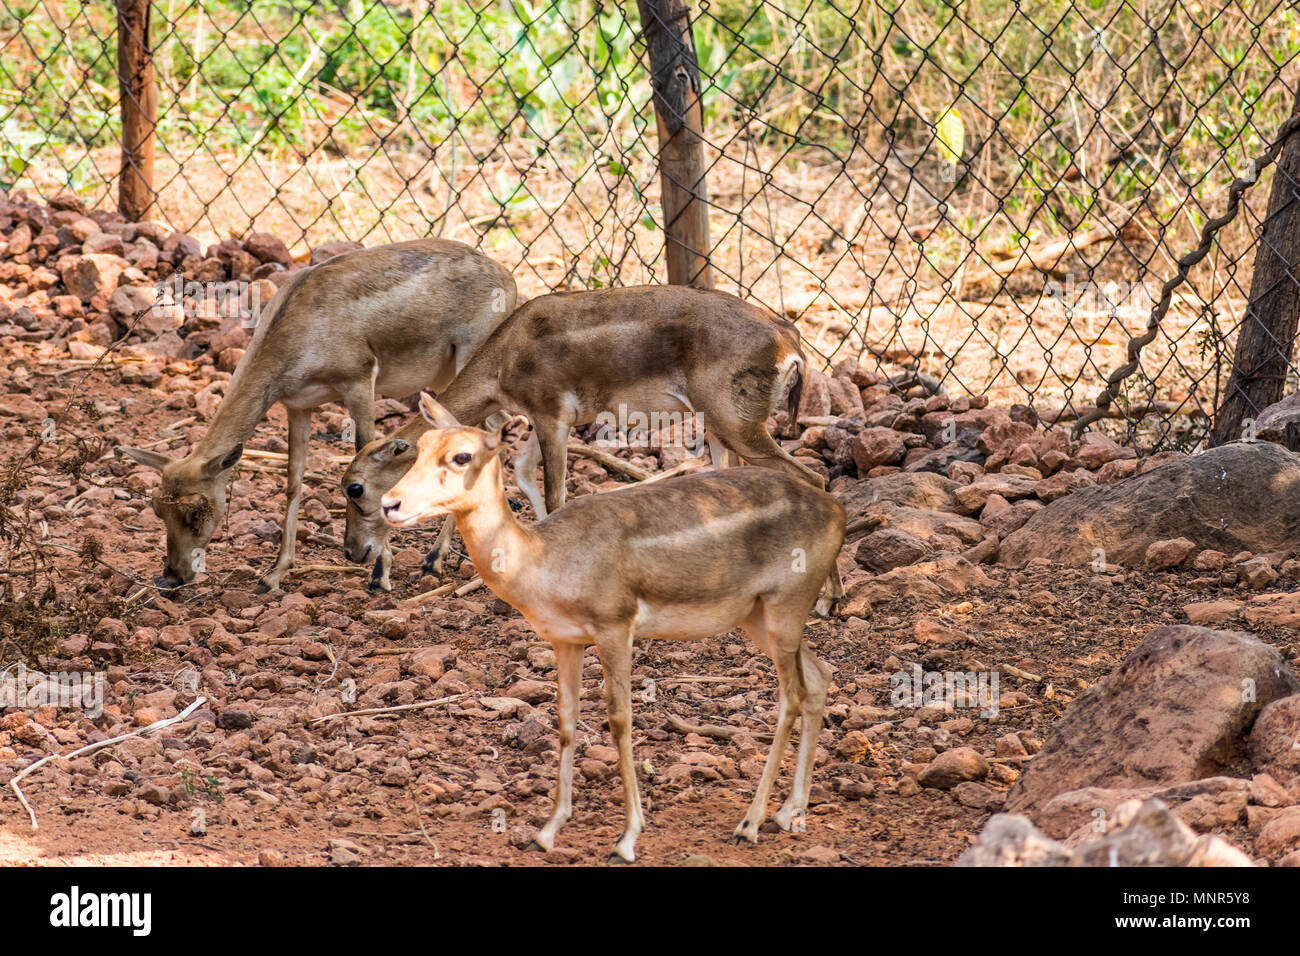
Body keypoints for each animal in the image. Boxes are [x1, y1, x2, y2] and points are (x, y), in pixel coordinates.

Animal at [114, 239, 514, 590]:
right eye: (156, 507)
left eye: (196, 511)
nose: (171, 576)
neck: (301, 329)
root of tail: (508, 278)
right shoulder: (298, 405)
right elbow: (294, 480)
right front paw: (273, 575)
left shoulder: (359, 381)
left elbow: (368, 456)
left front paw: (379, 574)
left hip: (471, 361)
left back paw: (434, 561)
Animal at [338, 282, 842, 606]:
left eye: (355, 487)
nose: (353, 552)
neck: (504, 357)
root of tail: (790, 340)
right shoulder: (535, 422)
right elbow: (519, 474)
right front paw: (434, 561)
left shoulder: (552, 417)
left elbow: (556, 493)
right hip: (720, 430)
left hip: (738, 425)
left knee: (815, 478)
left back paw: (827, 600)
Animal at [379, 395, 842, 868]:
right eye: (419, 446)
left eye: (462, 455)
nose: (390, 503)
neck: (543, 560)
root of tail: (836, 511)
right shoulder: (565, 640)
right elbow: (566, 719)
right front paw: (545, 833)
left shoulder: (615, 625)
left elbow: (620, 718)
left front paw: (627, 838)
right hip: (758, 617)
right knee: (820, 677)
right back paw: (789, 813)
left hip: (785, 607)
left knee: (792, 695)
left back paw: (749, 824)